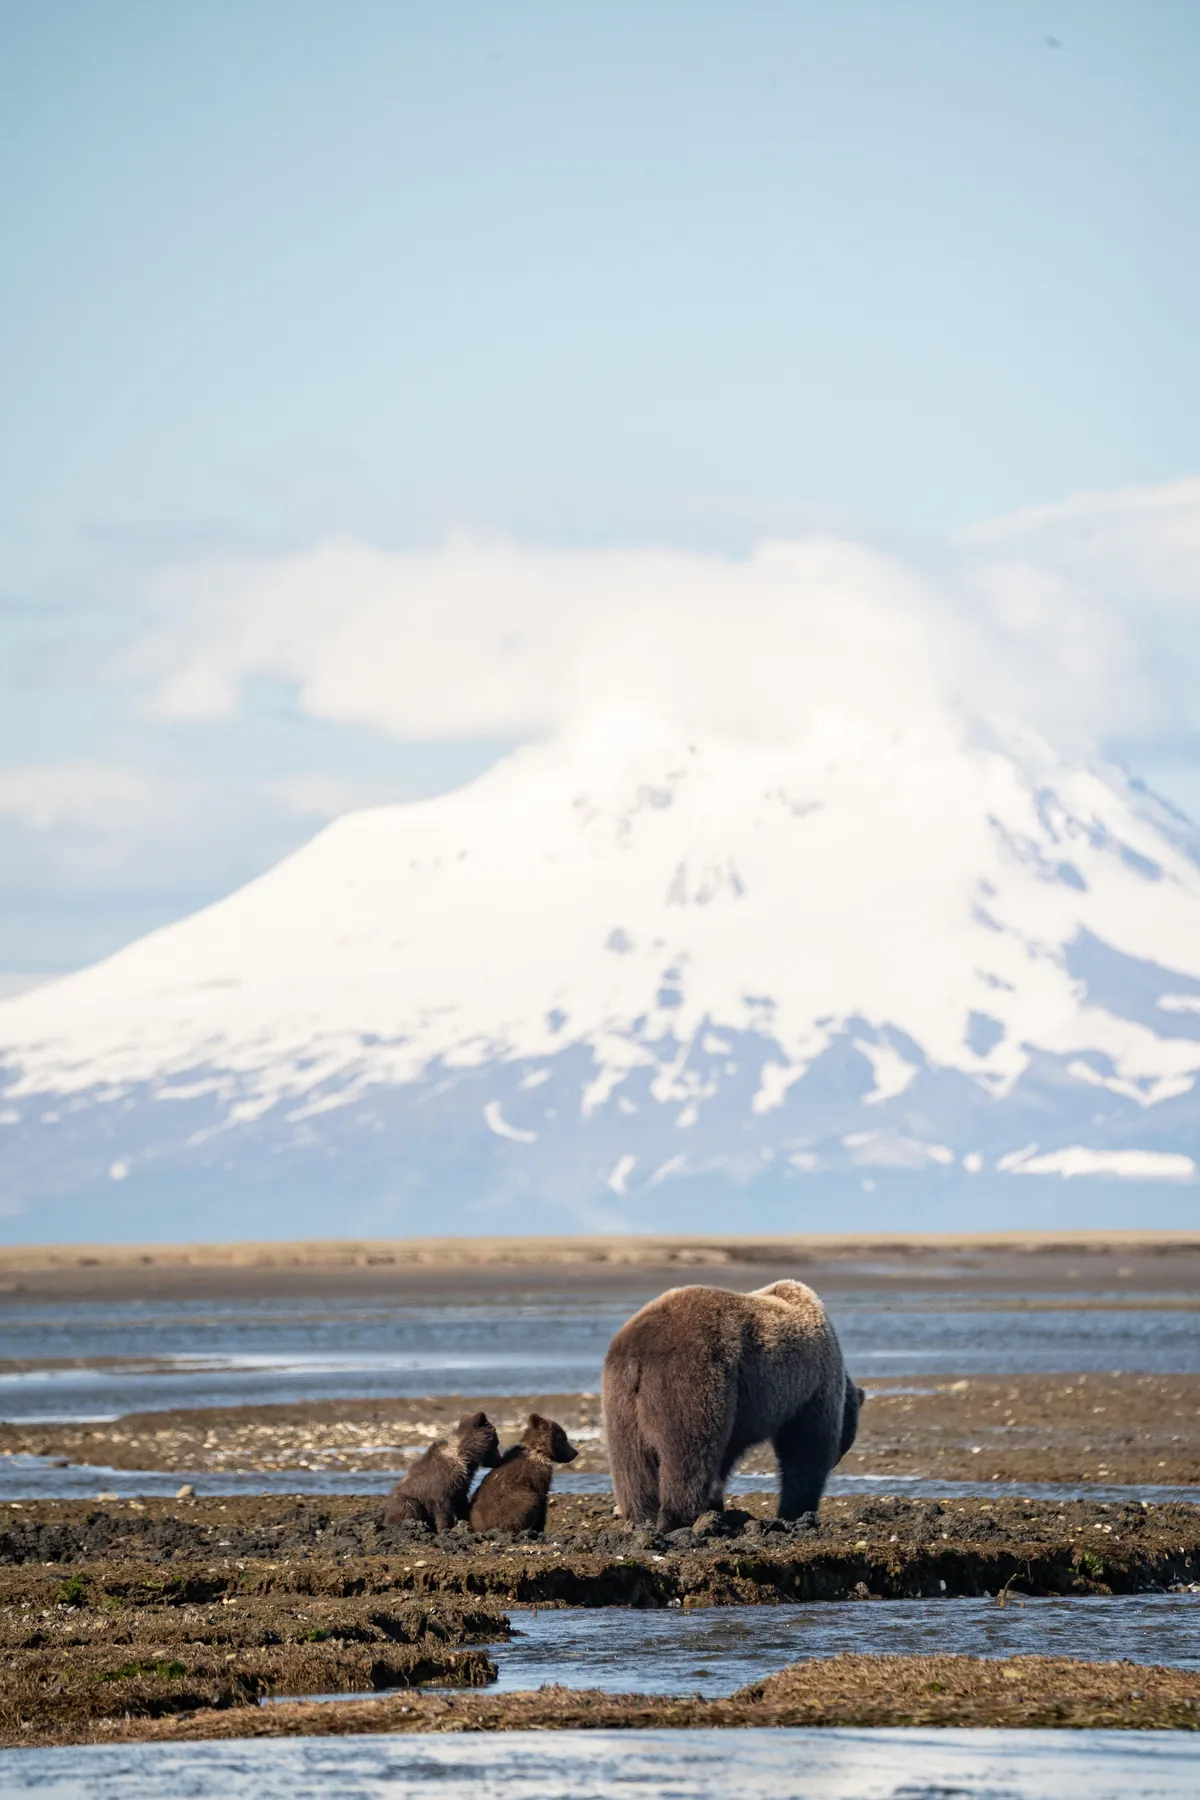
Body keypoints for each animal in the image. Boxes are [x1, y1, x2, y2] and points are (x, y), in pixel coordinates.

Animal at [602, 1280, 863, 1530]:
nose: (836, 1460)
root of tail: (639, 1349)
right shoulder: (812, 1385)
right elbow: (806, 1446)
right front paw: (798, 1512)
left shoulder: (742, 1409)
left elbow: (726, 1456)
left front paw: (716, 1504)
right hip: (691, 1377)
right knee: (689, 1451)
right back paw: (678, 1518)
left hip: (621, 1401)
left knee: (630, 1460)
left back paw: (642, 1517)